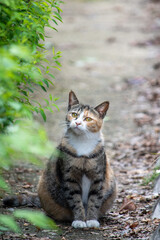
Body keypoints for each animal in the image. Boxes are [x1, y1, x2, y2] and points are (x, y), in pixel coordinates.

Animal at [3, 91, 117, 229]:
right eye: (74, 114)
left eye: (88, 119)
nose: (77, 123)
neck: (83, 143)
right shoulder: (69, 177)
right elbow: (75, 200)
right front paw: (79, 220)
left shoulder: (98, 176)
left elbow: (94, 200)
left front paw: (91, 219)